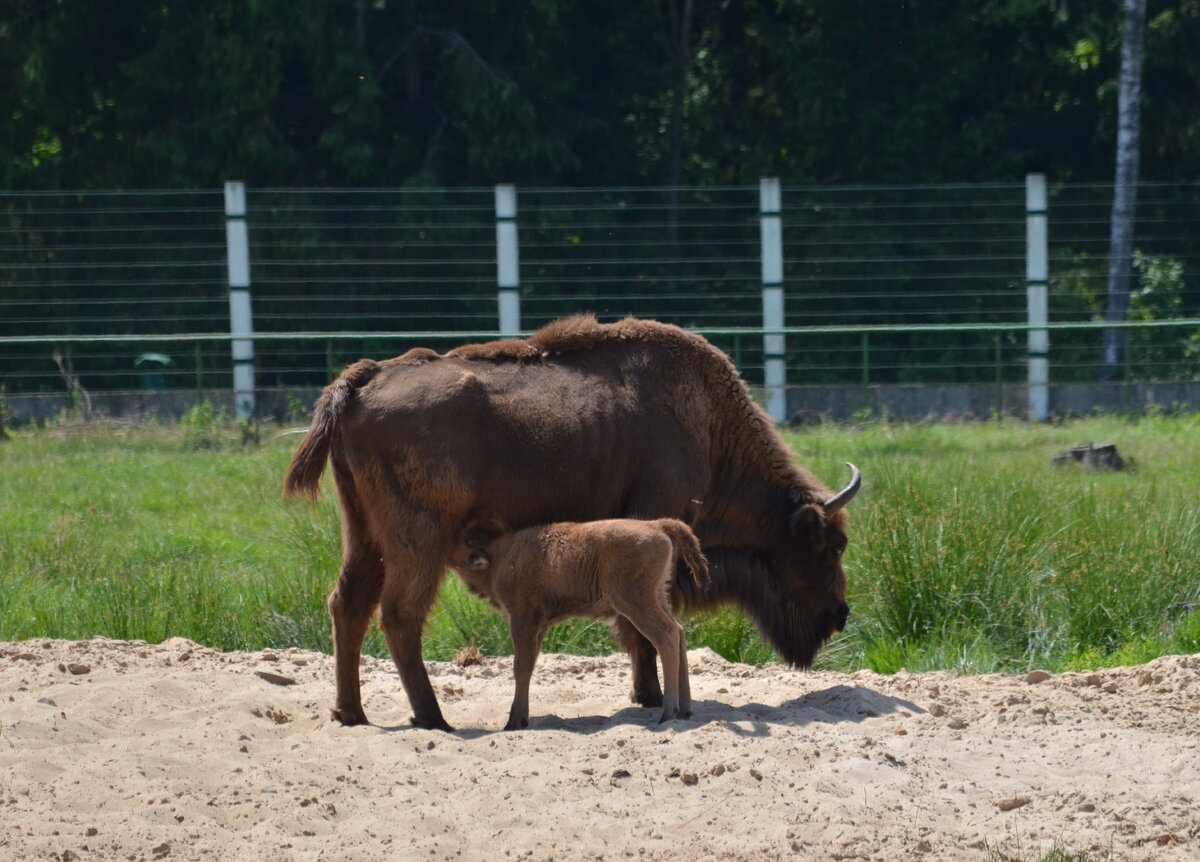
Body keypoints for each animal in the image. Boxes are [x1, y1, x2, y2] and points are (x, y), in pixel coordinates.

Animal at [451, 516, 710, 734]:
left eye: (467, 540)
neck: (502, 552)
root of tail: (656, 525)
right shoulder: (538, 626)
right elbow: (530, 665)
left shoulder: (522, 620)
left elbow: (521, 667)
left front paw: (514, 722)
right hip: (657, 597)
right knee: (679, 632)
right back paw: (685, 711)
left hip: (636, 602)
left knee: (667, 636)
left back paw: (668, 714)